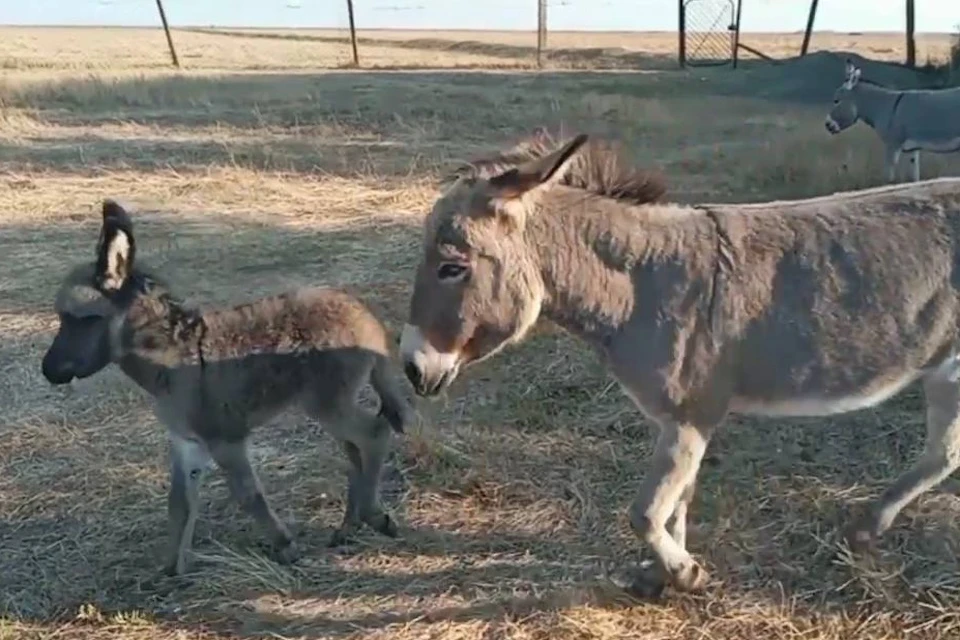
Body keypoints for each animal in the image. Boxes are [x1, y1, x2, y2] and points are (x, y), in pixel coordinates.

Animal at [41, 200, 410, 576]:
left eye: (83, 319)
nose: (49, 371)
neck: (171, 356)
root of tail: (365, 314)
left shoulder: (225, 439)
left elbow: (247, 494)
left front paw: (285, 546)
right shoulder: (188, 443)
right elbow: (180, 503)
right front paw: (171, 571)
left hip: (327, 401)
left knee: (374, 433)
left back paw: (374, 517)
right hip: (330, 403)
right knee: (355, 450)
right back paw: (349, 527)